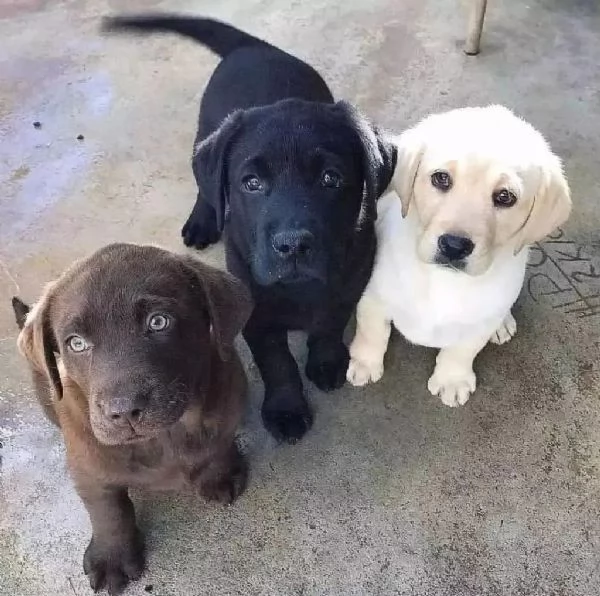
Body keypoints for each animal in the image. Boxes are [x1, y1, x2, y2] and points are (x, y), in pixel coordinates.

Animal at [103, 15, 396, 442]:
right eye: (252, 183)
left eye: (331, 178)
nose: (293, 245)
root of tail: (254, 47)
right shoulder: (254, 311)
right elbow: (276, 361)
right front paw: (286, 409)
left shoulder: (349, 282)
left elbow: (328, 325)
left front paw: (327, 362)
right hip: (206, 130)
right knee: (205, 181)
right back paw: (203, 220)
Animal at [344, 105, 568, 408]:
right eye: (441, 178)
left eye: (505, 197)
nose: (454, 246)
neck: (444, 281)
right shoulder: (373, 296)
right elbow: (372, 332)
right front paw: (365, 363)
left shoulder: (479, 324)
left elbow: (462, 351)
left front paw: (452, 380)